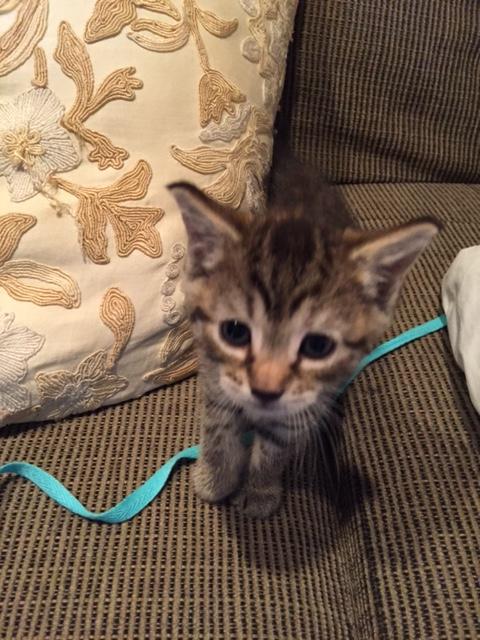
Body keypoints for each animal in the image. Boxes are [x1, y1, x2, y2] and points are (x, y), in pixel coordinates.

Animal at [168, 165, 438, 520]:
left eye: (317, 346)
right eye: (235, 332)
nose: (265, 390)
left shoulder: (299, 408)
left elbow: (273, 451)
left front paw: (260, 490)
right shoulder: (215, 377)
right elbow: (217, 427)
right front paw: (215, 478)